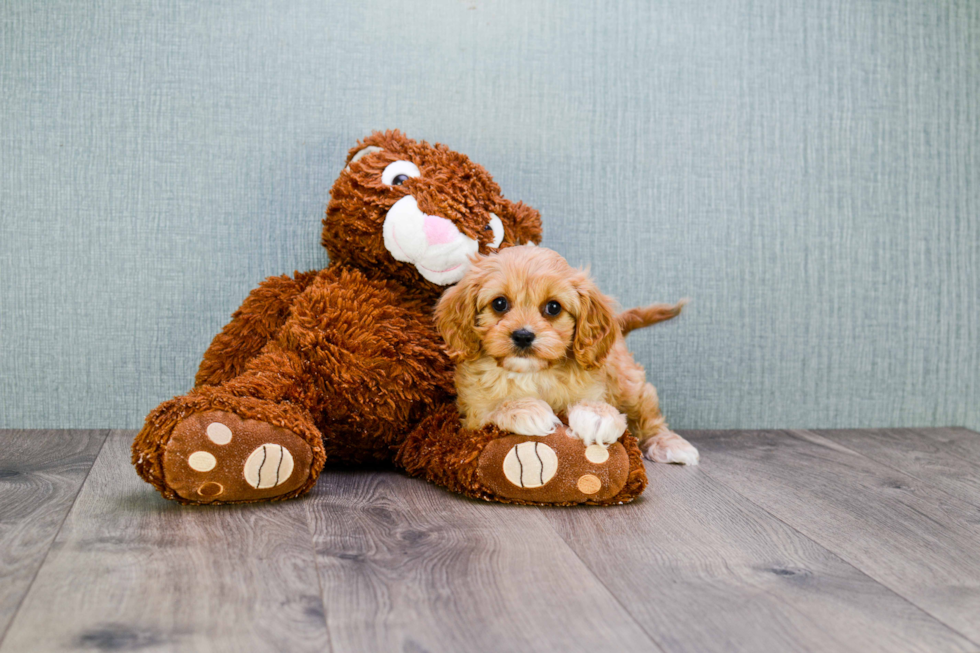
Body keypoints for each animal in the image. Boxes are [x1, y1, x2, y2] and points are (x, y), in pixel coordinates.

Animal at [434, 244, 696, 464]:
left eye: (553, 307)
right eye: (499, 304)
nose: (523, 335)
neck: (534, 373)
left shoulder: (595, 386)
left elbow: (593, 403)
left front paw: (597, 415)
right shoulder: (471, 412)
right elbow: (491, 408)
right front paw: (525, 409)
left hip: (627, 381)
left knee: (647, 412)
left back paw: (669, 443)